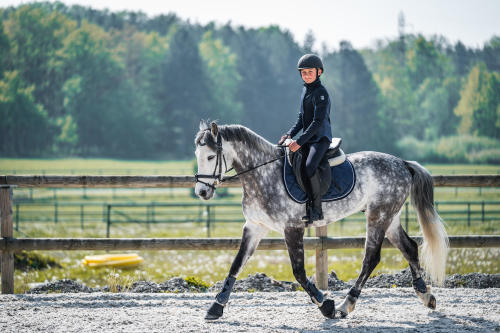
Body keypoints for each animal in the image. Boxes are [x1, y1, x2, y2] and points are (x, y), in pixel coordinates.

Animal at [193, 120, 448, 320]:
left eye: (211, 156)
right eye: (197, 156)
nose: (202, 192)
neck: (262, 174)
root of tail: (403, 163)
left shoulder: (292, 228)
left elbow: (298, 272)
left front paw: (326, 305)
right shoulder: (255, 227)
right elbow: (236, 264)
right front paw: (216, 307)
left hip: (379, 215)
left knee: (370, 258)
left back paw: (346, 304)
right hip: (389, 216)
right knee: (409, 247)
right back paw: (426, 295)